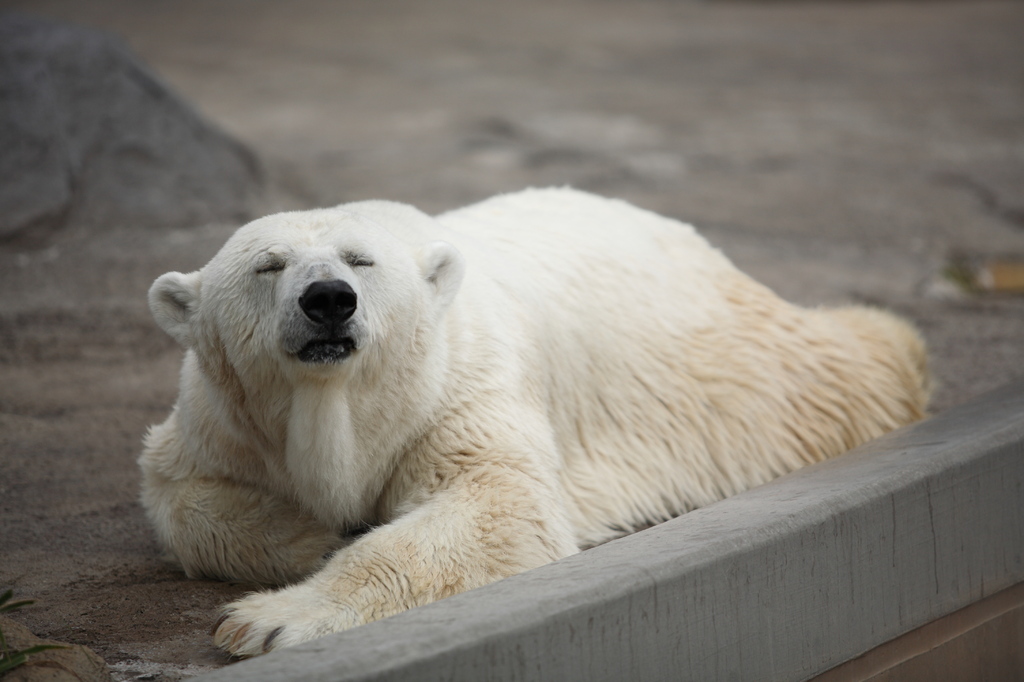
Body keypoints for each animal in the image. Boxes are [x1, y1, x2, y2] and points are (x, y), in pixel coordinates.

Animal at [140, 186, 933, 655]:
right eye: (269, 266)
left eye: (359, 261)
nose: (328, 299)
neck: (343, 405)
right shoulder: (227, 420)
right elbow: (182, 497)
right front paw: (317, 535)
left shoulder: (457, 388)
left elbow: (495, 505)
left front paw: (269, 619)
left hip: (724, 364)